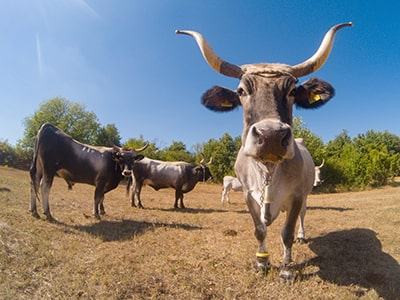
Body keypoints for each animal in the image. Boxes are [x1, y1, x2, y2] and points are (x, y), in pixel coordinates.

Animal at [177, 22, 352, 280]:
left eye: (292, 92)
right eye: (241, 91)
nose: (271, 136)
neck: (268, 172)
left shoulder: (297, 196)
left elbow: (287, 233)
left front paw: (286, 268)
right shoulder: (248, 195)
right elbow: (259, 229)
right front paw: (262, 262)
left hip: (306, 194)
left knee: (302, 216)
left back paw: (302, 236)